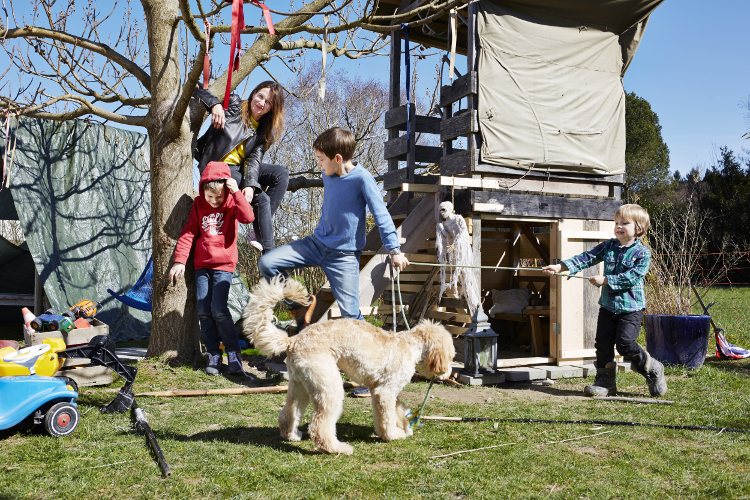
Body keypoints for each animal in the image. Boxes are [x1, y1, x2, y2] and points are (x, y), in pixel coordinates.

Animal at [244, 276, 458, 456]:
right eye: (451, 356)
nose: (448, 373)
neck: (411, 346)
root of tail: (293, 340)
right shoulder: (384, 392)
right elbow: (387, 417)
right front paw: (392, 435)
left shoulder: (383, 391)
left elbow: (397, 410)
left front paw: (405, 425)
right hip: (329, 385)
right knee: (319, 426)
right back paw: (336, 448)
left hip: (300, 385)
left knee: (288, 413)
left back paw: (292, 435)